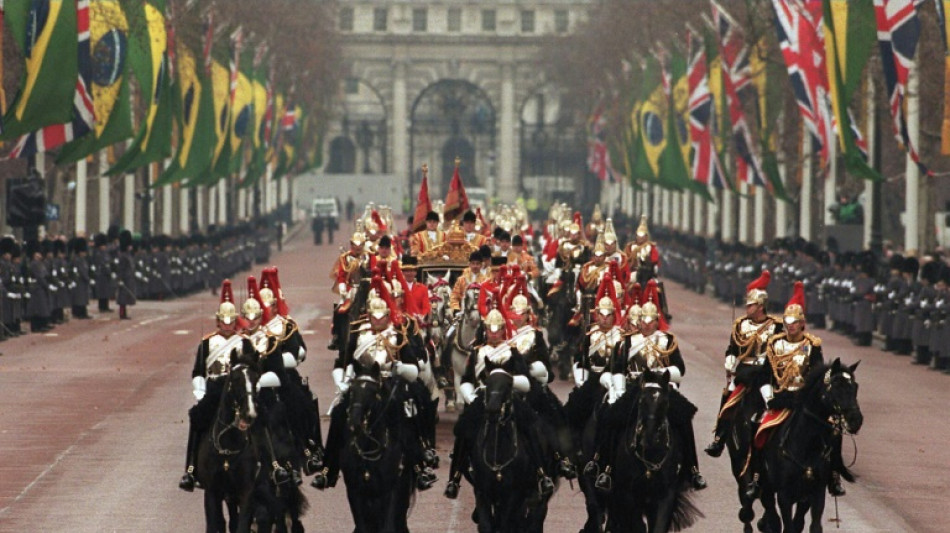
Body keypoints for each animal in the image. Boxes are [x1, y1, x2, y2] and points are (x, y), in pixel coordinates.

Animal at [194, 358, 262, 532]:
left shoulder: (246, 491)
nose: (249, 414)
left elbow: (241, 525)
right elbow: (214, 523)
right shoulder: (212, 492)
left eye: (256, 380)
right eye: (235, 380)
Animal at [342, 362, 416, 532]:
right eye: (352, 390)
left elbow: (388, 527)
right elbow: (361, 527)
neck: (369, 450)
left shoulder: (389, 492)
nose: (354, 423)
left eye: (373, 391)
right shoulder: (354, 492)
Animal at [608, 370, 704, 532]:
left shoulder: (666, 494)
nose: (650, 438)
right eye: (641, 401)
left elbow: (659, 525)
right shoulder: (628, 494)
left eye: (665, 402)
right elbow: (637, 525)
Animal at [756, 358, 868, 532]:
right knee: (772, 514)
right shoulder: (784, 495)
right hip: (767, 487)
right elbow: (786, 526)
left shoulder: (815, 494)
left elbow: (813, 525)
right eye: (837, 386)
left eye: (855, 387)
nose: (855, 420)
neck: (806, 447)